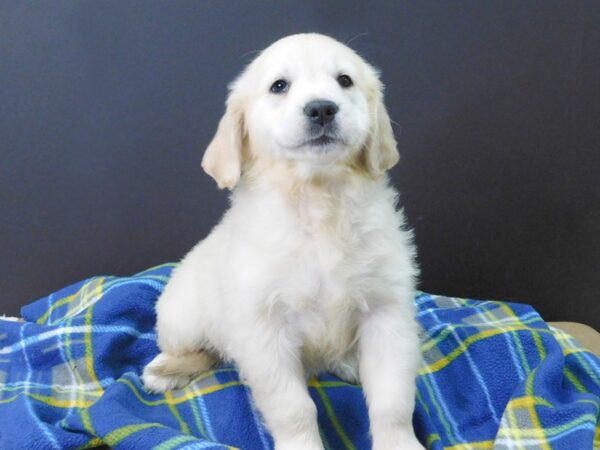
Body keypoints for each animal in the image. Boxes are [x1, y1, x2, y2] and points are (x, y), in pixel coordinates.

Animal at [142, 32, 422, 450]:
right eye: (279, 86)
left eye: (344, 80)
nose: (322, 109)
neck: (318, 203)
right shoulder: (264, 329)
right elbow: (294, 408)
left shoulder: (386, 313)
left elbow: (393, 399)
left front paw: (398, 442)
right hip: (181, 317)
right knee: (205, 350)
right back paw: (167, 369)